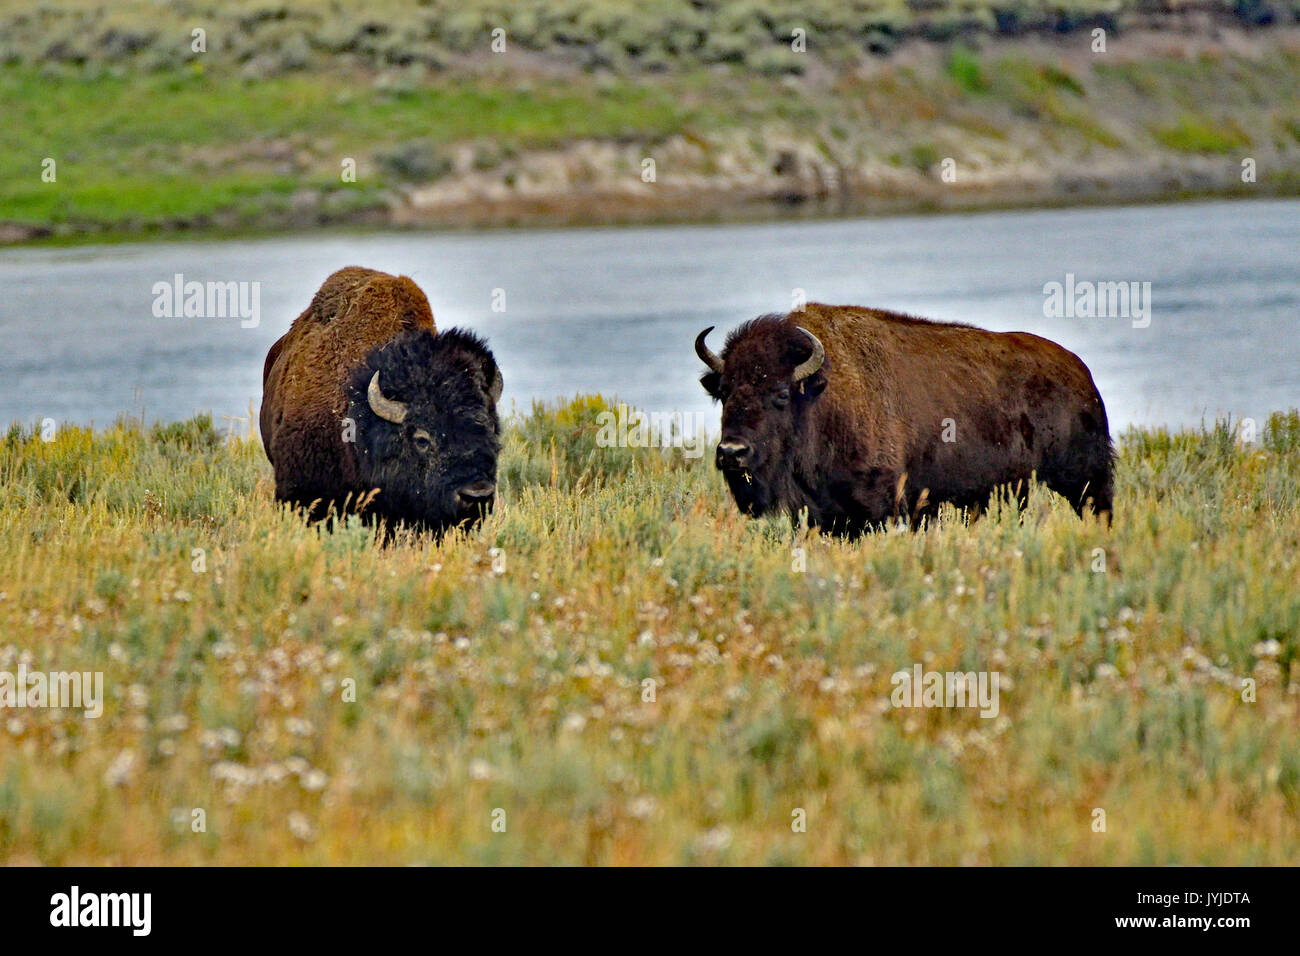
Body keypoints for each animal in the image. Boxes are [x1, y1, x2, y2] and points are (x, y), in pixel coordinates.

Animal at [696, 303, 1112, 535]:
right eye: (724, 393)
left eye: (781, 394)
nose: (732, 452)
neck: (820, 395)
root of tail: (1080, 372)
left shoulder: (879, 505)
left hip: (1083, 477)